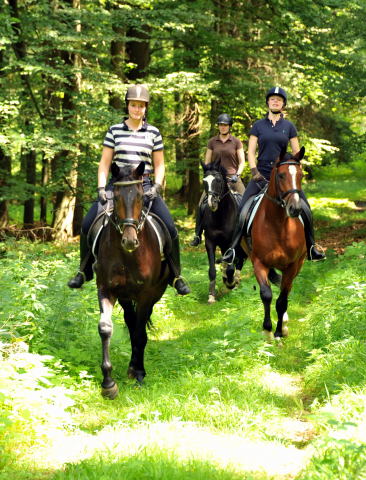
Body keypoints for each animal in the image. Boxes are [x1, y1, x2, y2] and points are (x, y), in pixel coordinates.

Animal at [93, 161, 169, 398]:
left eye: (141, 197)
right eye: (115, 198)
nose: (129, 241)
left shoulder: (146, 296)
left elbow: (139, 333)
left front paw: (140, 373)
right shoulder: (106, 289)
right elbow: (105, 328)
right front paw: (108, 382)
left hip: (155, 294)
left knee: (138, 328)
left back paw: (135, 367)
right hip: (125, 297)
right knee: (130, 319)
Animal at [199, 161, 244, 304]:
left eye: (218, 180)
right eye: (204, 181)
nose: (212, 203)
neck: (220, 216)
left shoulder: (232, 243)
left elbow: (231, 267)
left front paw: (230, 283)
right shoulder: (210, 242)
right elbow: (212, 270)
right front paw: (211, 296)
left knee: (239, 261)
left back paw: (235, 283)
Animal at [242, 148, 308, 340]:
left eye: (300, 175)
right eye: (281, 175)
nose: (295, 209)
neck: (277, 224)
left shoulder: (292, 265)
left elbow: (282, 300)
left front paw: (279, 331)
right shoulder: (258, 261)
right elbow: (266, 294)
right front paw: (267, 330)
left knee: (287, 288)